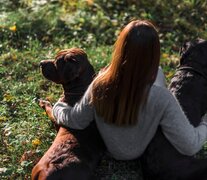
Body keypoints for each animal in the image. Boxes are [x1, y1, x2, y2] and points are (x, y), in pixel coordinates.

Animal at [31, 48, 106, 180]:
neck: (80, 89)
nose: (40, 62)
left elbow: (49, 107)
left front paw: (43, 102)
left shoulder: (55, 115)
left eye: (56, 63)